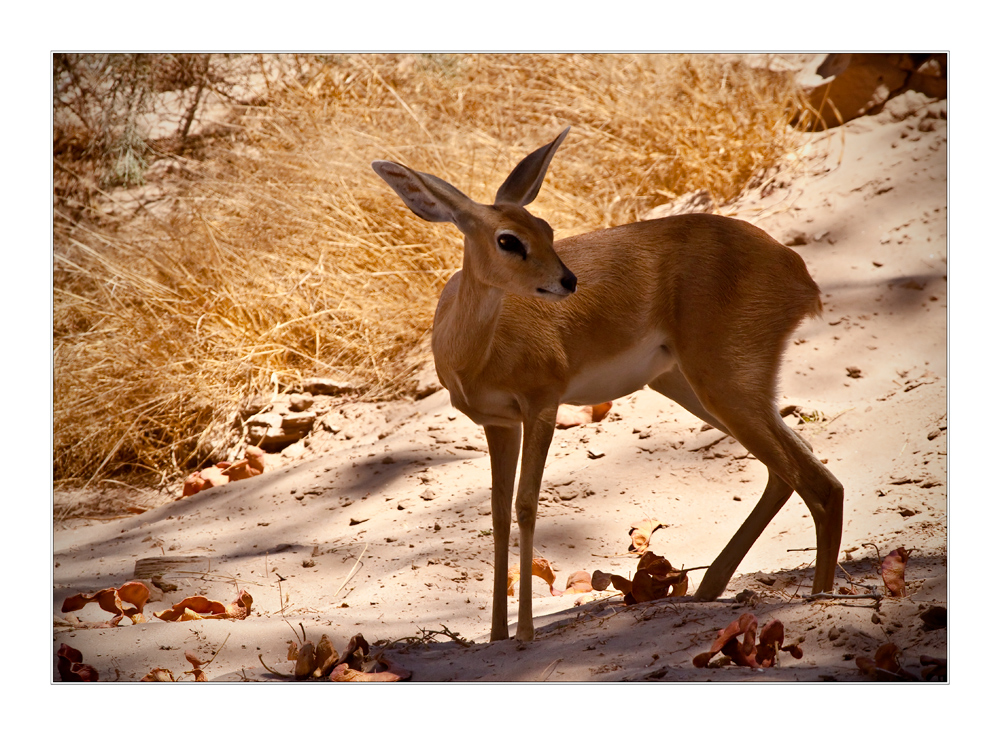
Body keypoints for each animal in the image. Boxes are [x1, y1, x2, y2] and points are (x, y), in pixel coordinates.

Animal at [376, 129, 844, 640]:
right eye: (509, 239)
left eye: (546, 228)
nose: (567, 281)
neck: (472, 353)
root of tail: (795, 268)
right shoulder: (499, 424)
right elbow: (498, 514)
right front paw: (498, 635)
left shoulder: (542, 406)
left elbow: (525, 504)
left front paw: (525, 633)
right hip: (692, 386)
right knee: (797, 472)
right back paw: (710, 589)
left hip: (725, 384)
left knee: (812, 482)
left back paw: (818, 596)